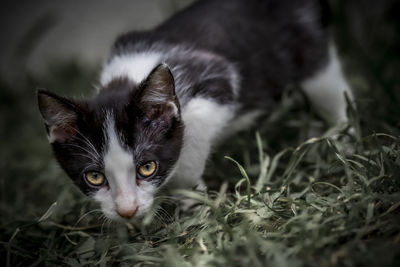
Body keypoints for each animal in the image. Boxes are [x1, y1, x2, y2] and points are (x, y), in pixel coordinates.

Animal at [36, 0, 352, 224]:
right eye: (94, 177)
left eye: (147, 167)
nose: (127, 210)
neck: (130, 75)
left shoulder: (219, 82)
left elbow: (193, 136)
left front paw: (189, 197)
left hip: (308, 50)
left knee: (329, 87)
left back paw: (341, 139)